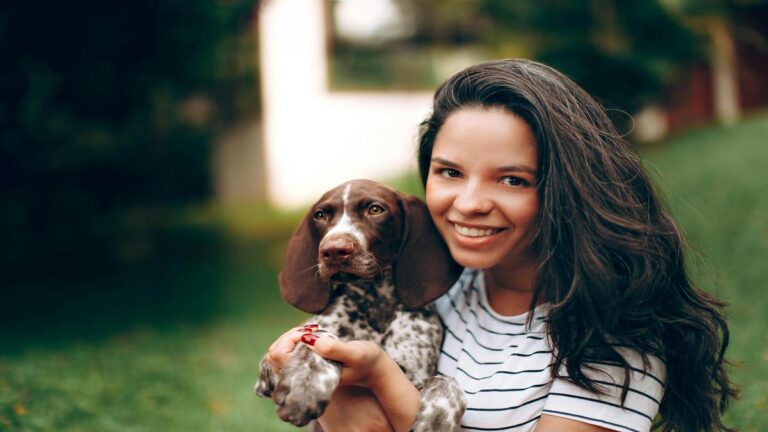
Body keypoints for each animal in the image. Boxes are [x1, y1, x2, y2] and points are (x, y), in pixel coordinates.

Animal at [255, 179, 464, 432]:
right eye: (321, 215)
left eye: (375, 209)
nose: (334, 250)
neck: (375, 302)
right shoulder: (272, 367)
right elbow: (321, 340)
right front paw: (306, 385)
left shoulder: (415, 375)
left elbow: (446, 381)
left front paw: (436, 420)